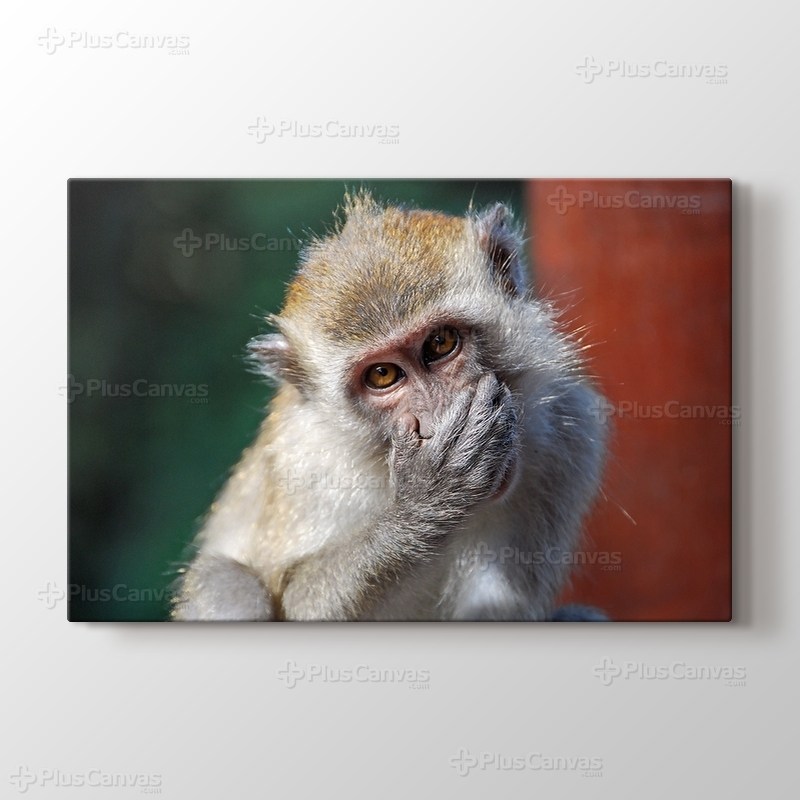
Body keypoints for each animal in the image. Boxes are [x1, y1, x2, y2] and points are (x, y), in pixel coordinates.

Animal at [171, 191, 607, 621]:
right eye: (382, 375)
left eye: (440, 343)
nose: (437, 419)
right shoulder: (309, 465)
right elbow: (297, 599)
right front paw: (429, 501)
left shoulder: (571, 425)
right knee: (226, 582)